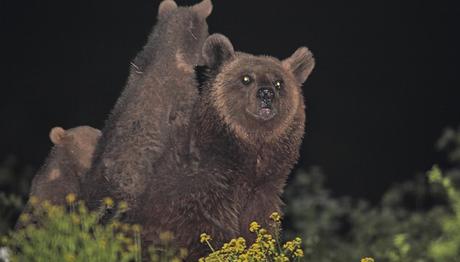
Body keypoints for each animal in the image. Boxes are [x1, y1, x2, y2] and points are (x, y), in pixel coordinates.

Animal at [137, 34, 314, 260]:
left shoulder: (264, 188)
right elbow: (203, 228)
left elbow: (258, 223)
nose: (266, 94)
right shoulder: (201, 187)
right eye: (246, 78)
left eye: (278, 82)